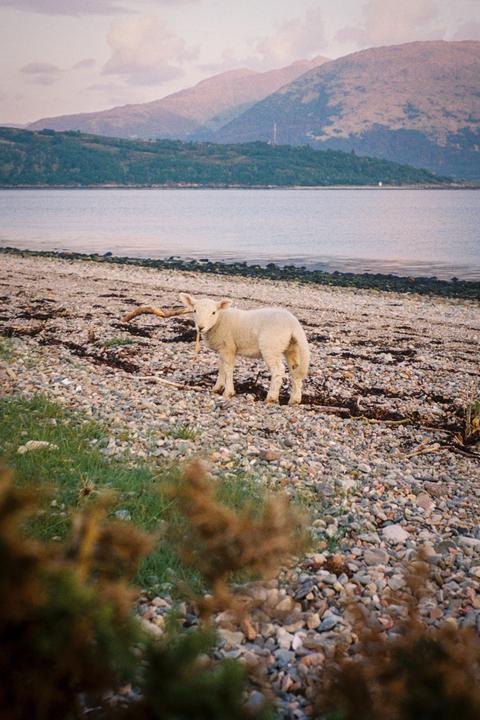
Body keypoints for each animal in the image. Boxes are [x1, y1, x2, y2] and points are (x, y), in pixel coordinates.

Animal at [179, 293, 310, 404]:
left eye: (213, 312)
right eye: (194, 311)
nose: (200, 327)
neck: (220, 320)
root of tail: (293, 324)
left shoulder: (228, 347)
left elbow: (228, 368)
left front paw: (228, 392)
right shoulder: (222, 348)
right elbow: (221, 367)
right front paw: (217, 388)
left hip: (271, 345)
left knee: (278, 370)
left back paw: (271, 398)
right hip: (292, 346)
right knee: (295, 370)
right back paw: (295, 400)